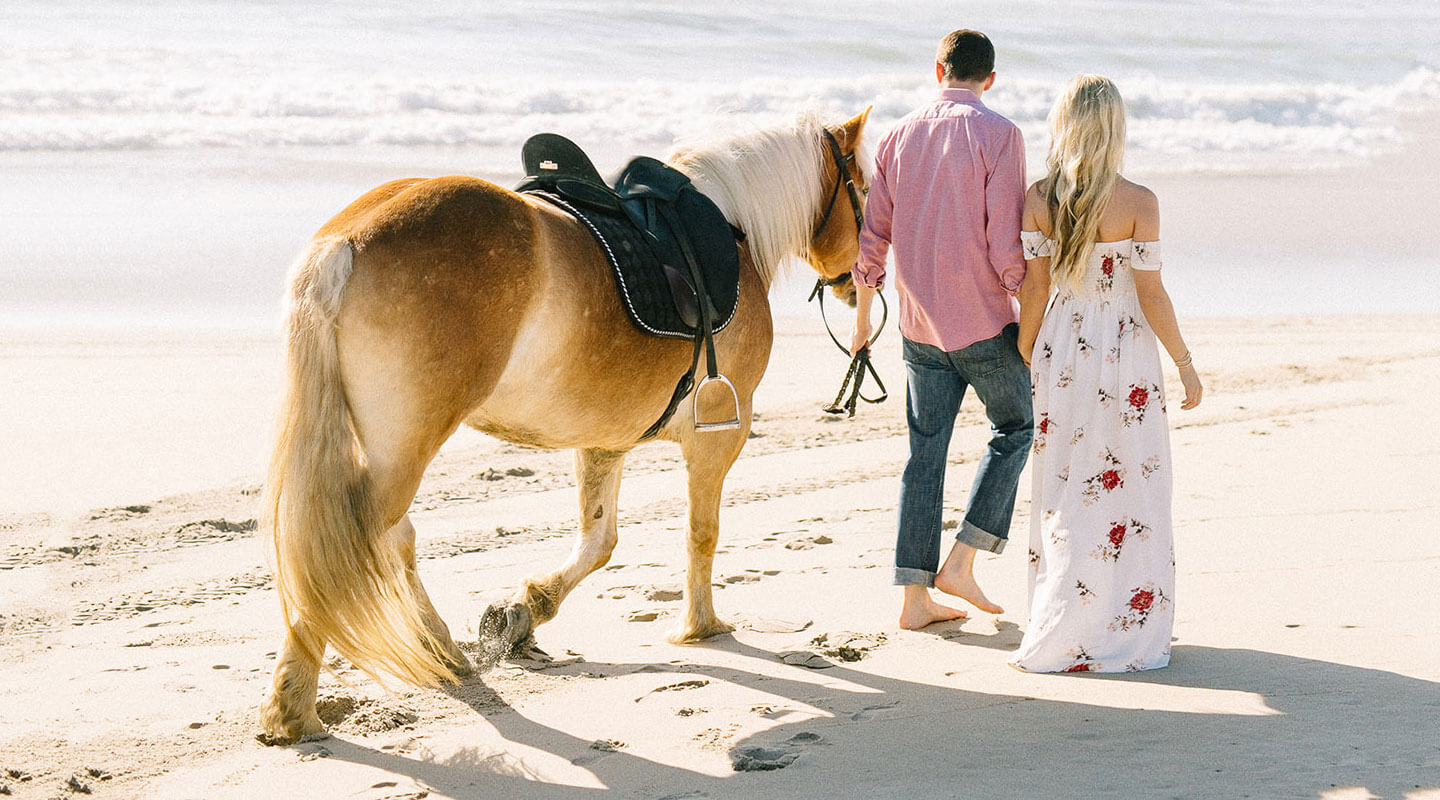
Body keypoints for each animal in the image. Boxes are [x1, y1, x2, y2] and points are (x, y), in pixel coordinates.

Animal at [257, 108, 872, 745]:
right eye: (864, 190)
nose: (859, 282)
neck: (732, 228)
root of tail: (348, 240)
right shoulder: (720, 434)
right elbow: (700, 533)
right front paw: (700, 625)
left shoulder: (606, 440)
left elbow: (599, 542)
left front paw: (523, 611)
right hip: (402, 451)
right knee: (347, 554)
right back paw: (295, 704)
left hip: (384, 450)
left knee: (386, 541)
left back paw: (441, 651)